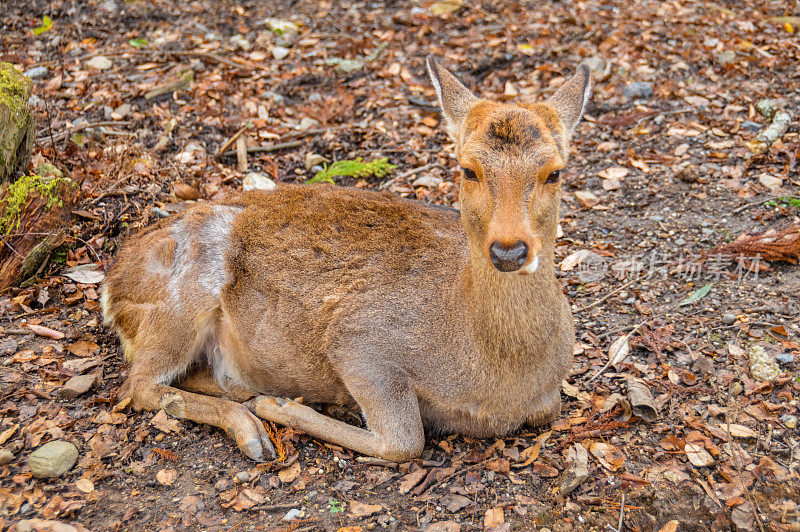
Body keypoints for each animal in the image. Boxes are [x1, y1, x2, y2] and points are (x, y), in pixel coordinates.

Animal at [100, 56, 592, 460]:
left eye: (554, 172)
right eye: (468, 169)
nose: (509, 249)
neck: (500, 376)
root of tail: (111, 283)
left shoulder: (549, 400)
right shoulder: (358, 340)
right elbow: (405, 442)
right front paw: (280, 406)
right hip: (180, 299)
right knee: (139, 385)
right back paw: (253, 427)